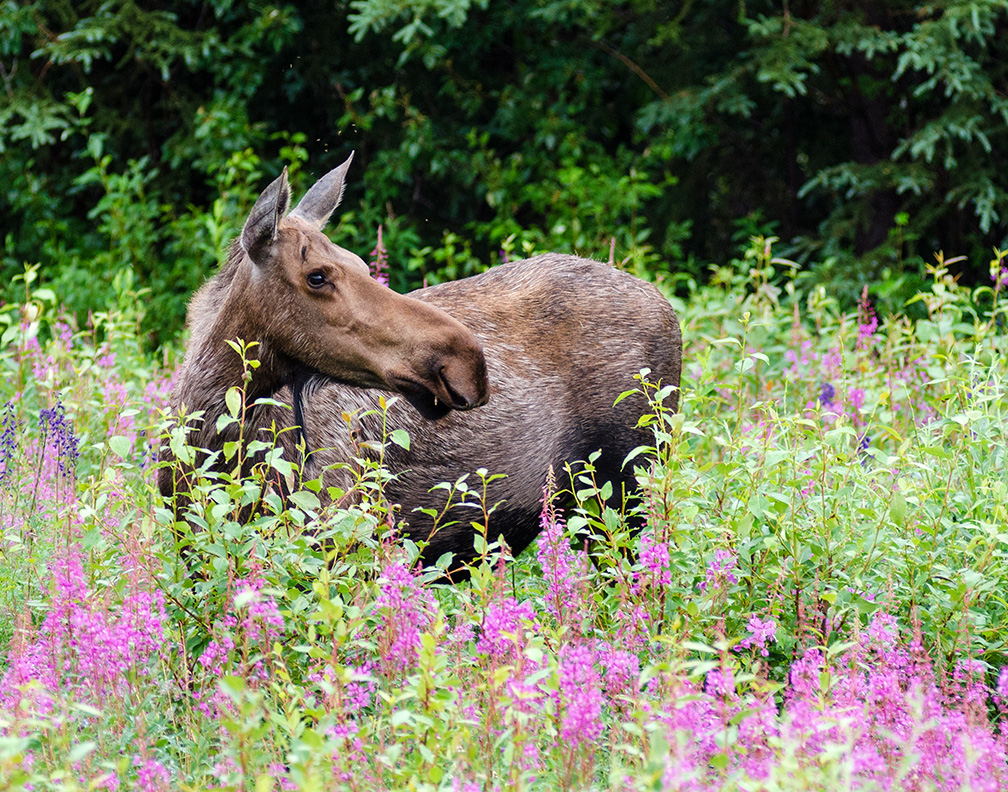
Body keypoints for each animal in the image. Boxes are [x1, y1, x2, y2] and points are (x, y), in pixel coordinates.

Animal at [159, 153, 682, 578]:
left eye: (362, 264)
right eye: (317, 275)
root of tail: (667, 305)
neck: (213, 445)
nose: (469, 362)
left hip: (621, 496)